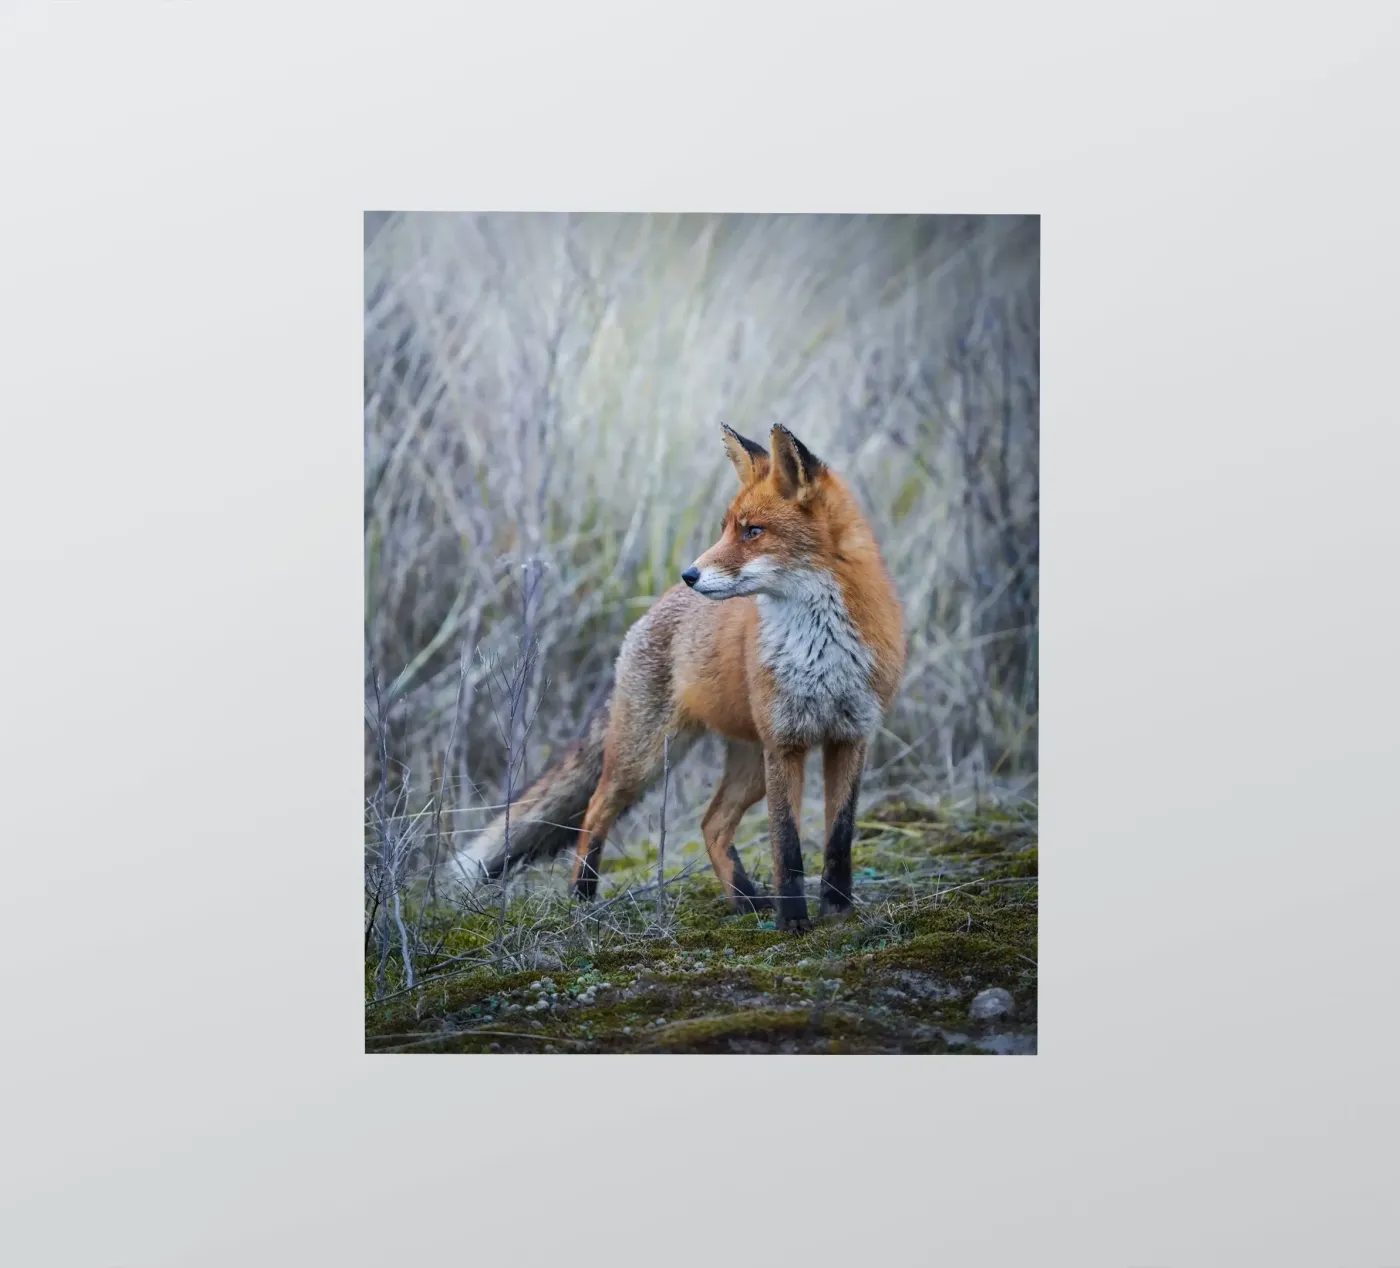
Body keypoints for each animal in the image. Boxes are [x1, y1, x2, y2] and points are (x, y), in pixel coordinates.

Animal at [464, 422, 906, 931]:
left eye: (753, 531)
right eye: (726, 528)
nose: (690, 573)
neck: (821, 649)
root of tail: (653, 608)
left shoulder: (850, 737)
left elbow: (839, 837)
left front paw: (836, 910)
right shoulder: (785, 744)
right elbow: (787, 847)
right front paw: (793, 921)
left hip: (749, 766)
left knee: (711, 823)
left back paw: (745, 900)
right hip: (647, 757)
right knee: (596, 809)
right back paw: (582, 896)